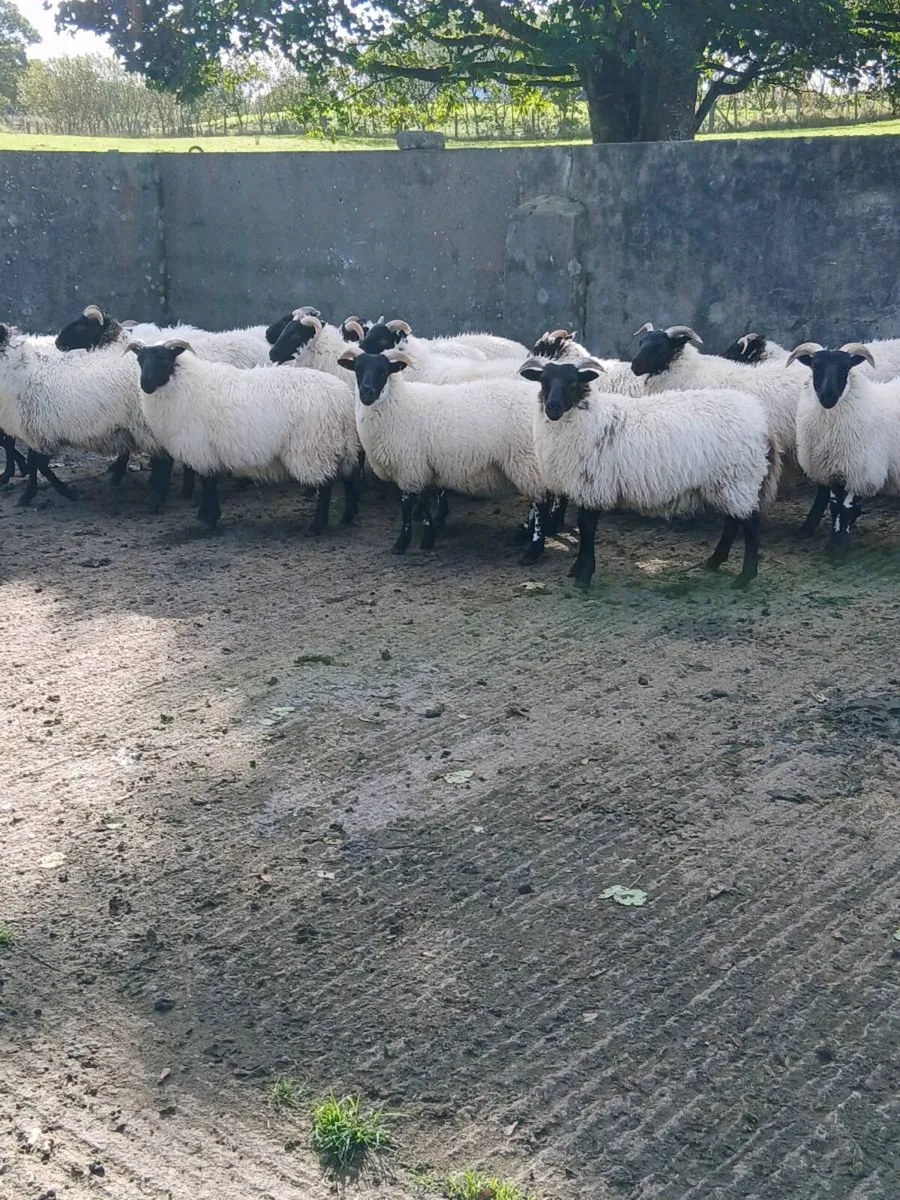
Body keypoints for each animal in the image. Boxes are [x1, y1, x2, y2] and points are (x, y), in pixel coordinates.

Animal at [126, 338, 361, 534]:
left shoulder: (203, 450)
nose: (146, 385)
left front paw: (210, 519)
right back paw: (348, 516)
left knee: (326, 485)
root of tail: (341, 398)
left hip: (312, 447)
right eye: (140, 360)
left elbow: (208, 482)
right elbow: (207, 482)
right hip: (341, 444)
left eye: (164, 359)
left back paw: (315, 526)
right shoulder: (207, 451)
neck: (186, 386)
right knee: (350, 477)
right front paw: (204, 514)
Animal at [337, 345, 555, 562]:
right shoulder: (421, 467)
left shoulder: (409, 467)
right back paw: (527, 535)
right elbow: (423, 503)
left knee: (541, 504)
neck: (401, 403)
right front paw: (428, 538)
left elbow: (406, 507)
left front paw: (401, 543)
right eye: (357, 369)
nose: (367, 393)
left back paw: (533, 548)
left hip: (526, 461)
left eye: (384, 370)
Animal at [518, 357, 778, 589]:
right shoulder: (585, 487)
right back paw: (715, 561)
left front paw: (584, 575)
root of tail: (762, 420)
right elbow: (584, 529)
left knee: (750, 524)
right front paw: (577, 569)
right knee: (733, 521)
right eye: (543, 381)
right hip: (725, 482)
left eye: (573, 382)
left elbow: (587, 528)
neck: (588, 417)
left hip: (739, 477)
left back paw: (744, 578)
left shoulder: (593, 485)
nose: (552, 408)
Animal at [787, 341, 900, 550]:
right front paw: (834, 540)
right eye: (815, 366)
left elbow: (846, 507)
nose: (827, 396)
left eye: (846, 368)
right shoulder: (832, 470)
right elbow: (834, 505)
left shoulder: (861, 472)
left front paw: (841, 545)